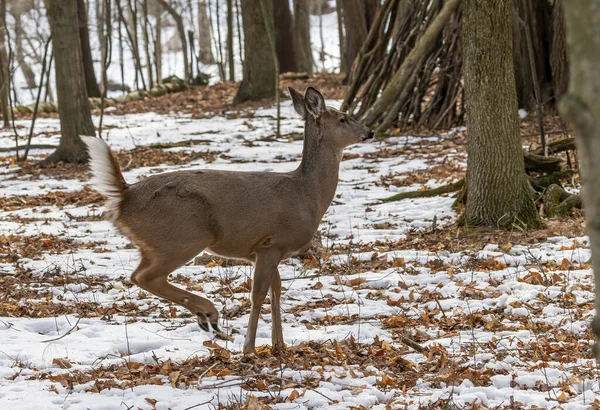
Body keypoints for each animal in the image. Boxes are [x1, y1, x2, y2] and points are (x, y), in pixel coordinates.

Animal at [83, 87, 376, 356]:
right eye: (343, 118)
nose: (370, 131)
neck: (307, 195)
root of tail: (124, 196)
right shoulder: (271, 243)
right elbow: (258, 294)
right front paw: (249, 349)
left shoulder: (267, 250)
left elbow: (276, 291)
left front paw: (279, 345)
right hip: (183, 235)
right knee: (145, 277)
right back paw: (209, 314)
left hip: (156, 243)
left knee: (142, 274)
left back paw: (206, 316)